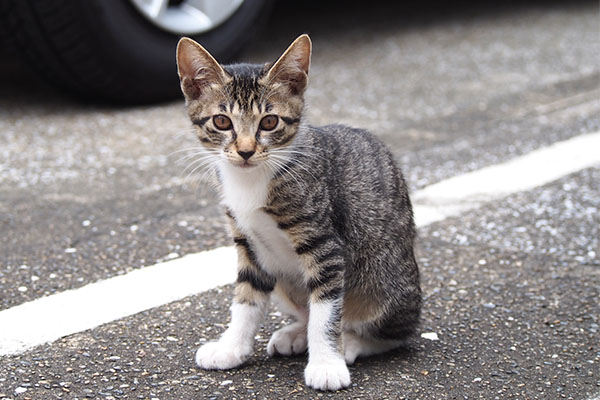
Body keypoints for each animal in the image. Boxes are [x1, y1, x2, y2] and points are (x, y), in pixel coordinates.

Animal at [176, 33, 422, 390]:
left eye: (269, 122)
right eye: (222, 122)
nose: (246, 151)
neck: (252, 180)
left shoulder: (324, 244)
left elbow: (326, 311)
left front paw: (326, 364)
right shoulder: (248, 244)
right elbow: (246, 298)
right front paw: (231, 347)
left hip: (385, 280)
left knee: (393, 331)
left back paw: (351, 341)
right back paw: (296, 334)